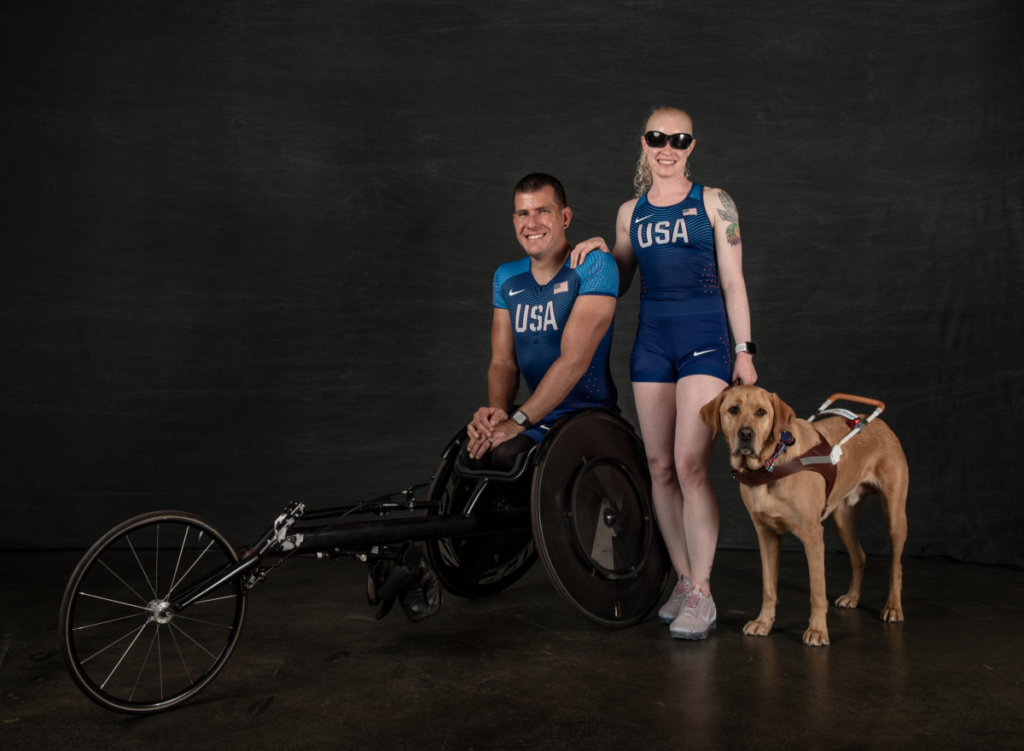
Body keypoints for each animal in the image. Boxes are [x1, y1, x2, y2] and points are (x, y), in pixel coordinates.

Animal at [700, 387, 909, 643]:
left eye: (761, 412)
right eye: (733, 409)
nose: (746, 434)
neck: (769, 465)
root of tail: (880, 424)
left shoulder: (812, 536)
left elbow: (817, 592)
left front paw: (818, 630)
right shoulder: (767, 535)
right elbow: (769, 588)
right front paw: (764, 622)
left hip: (894, 516)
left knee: (896, 566)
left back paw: (893, 607)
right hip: (843, 519)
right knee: (859, 556)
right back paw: (852, 597)